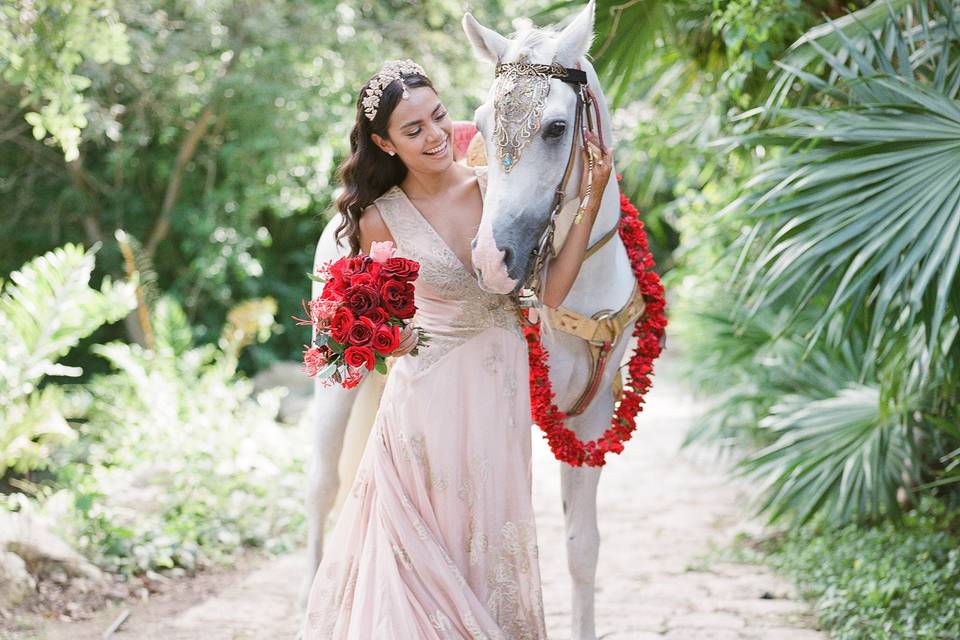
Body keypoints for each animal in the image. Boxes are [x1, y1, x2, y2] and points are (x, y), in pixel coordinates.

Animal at [304, 2, 640, 636]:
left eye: (556, 128)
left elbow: (583, 549)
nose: (490, 261)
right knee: (322, 486)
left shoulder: (591, 417)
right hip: (336, 372)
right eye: (482, 125)